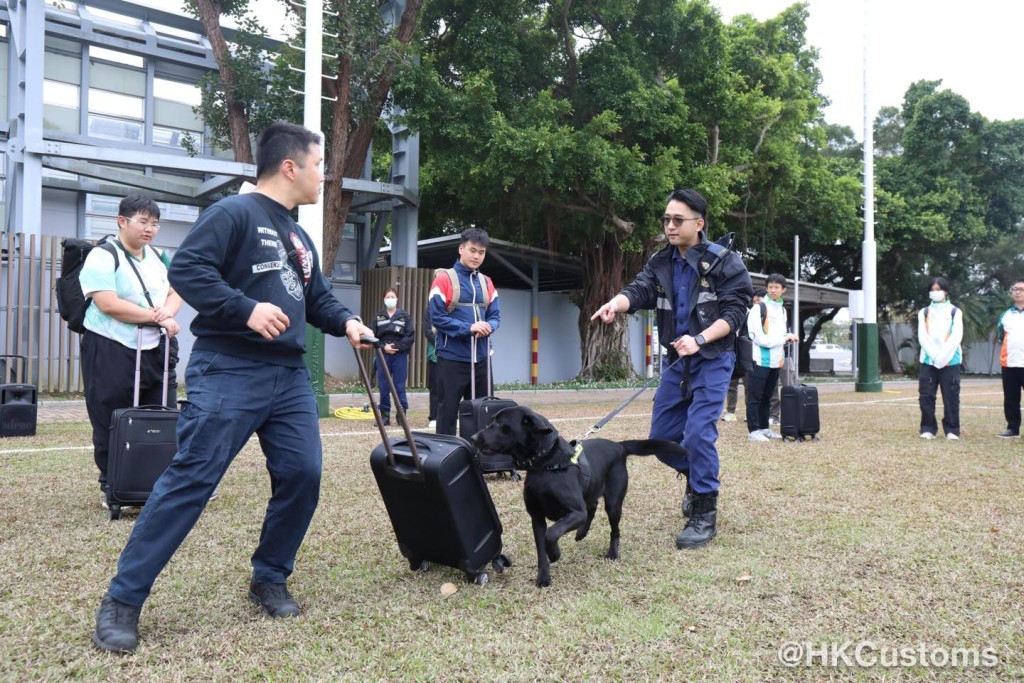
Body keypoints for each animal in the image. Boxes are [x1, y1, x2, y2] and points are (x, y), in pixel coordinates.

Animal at [473, 405, 688, 589]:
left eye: (500, 424)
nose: (474, 437)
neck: (545, 465)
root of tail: (619, 447)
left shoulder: (575, 512)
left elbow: (552, 534)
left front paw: (555, 554)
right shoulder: (537, 517)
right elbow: (541, 548)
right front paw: (544, 576)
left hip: (613, 503)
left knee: (613, 528)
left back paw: (612, 552)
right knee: (592, 506)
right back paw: (582, 532)